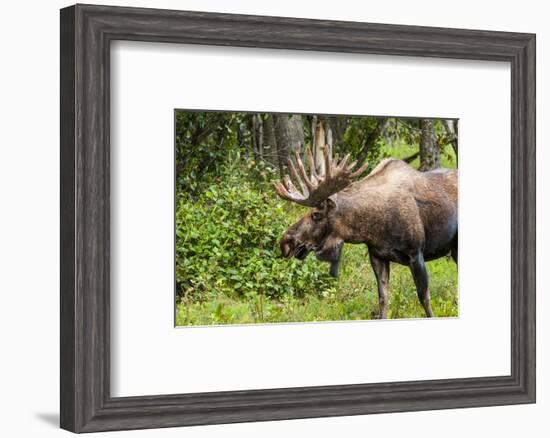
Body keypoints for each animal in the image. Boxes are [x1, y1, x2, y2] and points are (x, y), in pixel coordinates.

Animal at [274, 147, 460, 318]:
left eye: (316, 214)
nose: (285, 241)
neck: (371, 228)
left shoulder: (416, 253)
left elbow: (424, 298)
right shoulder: (377, 256)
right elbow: (383, 299)